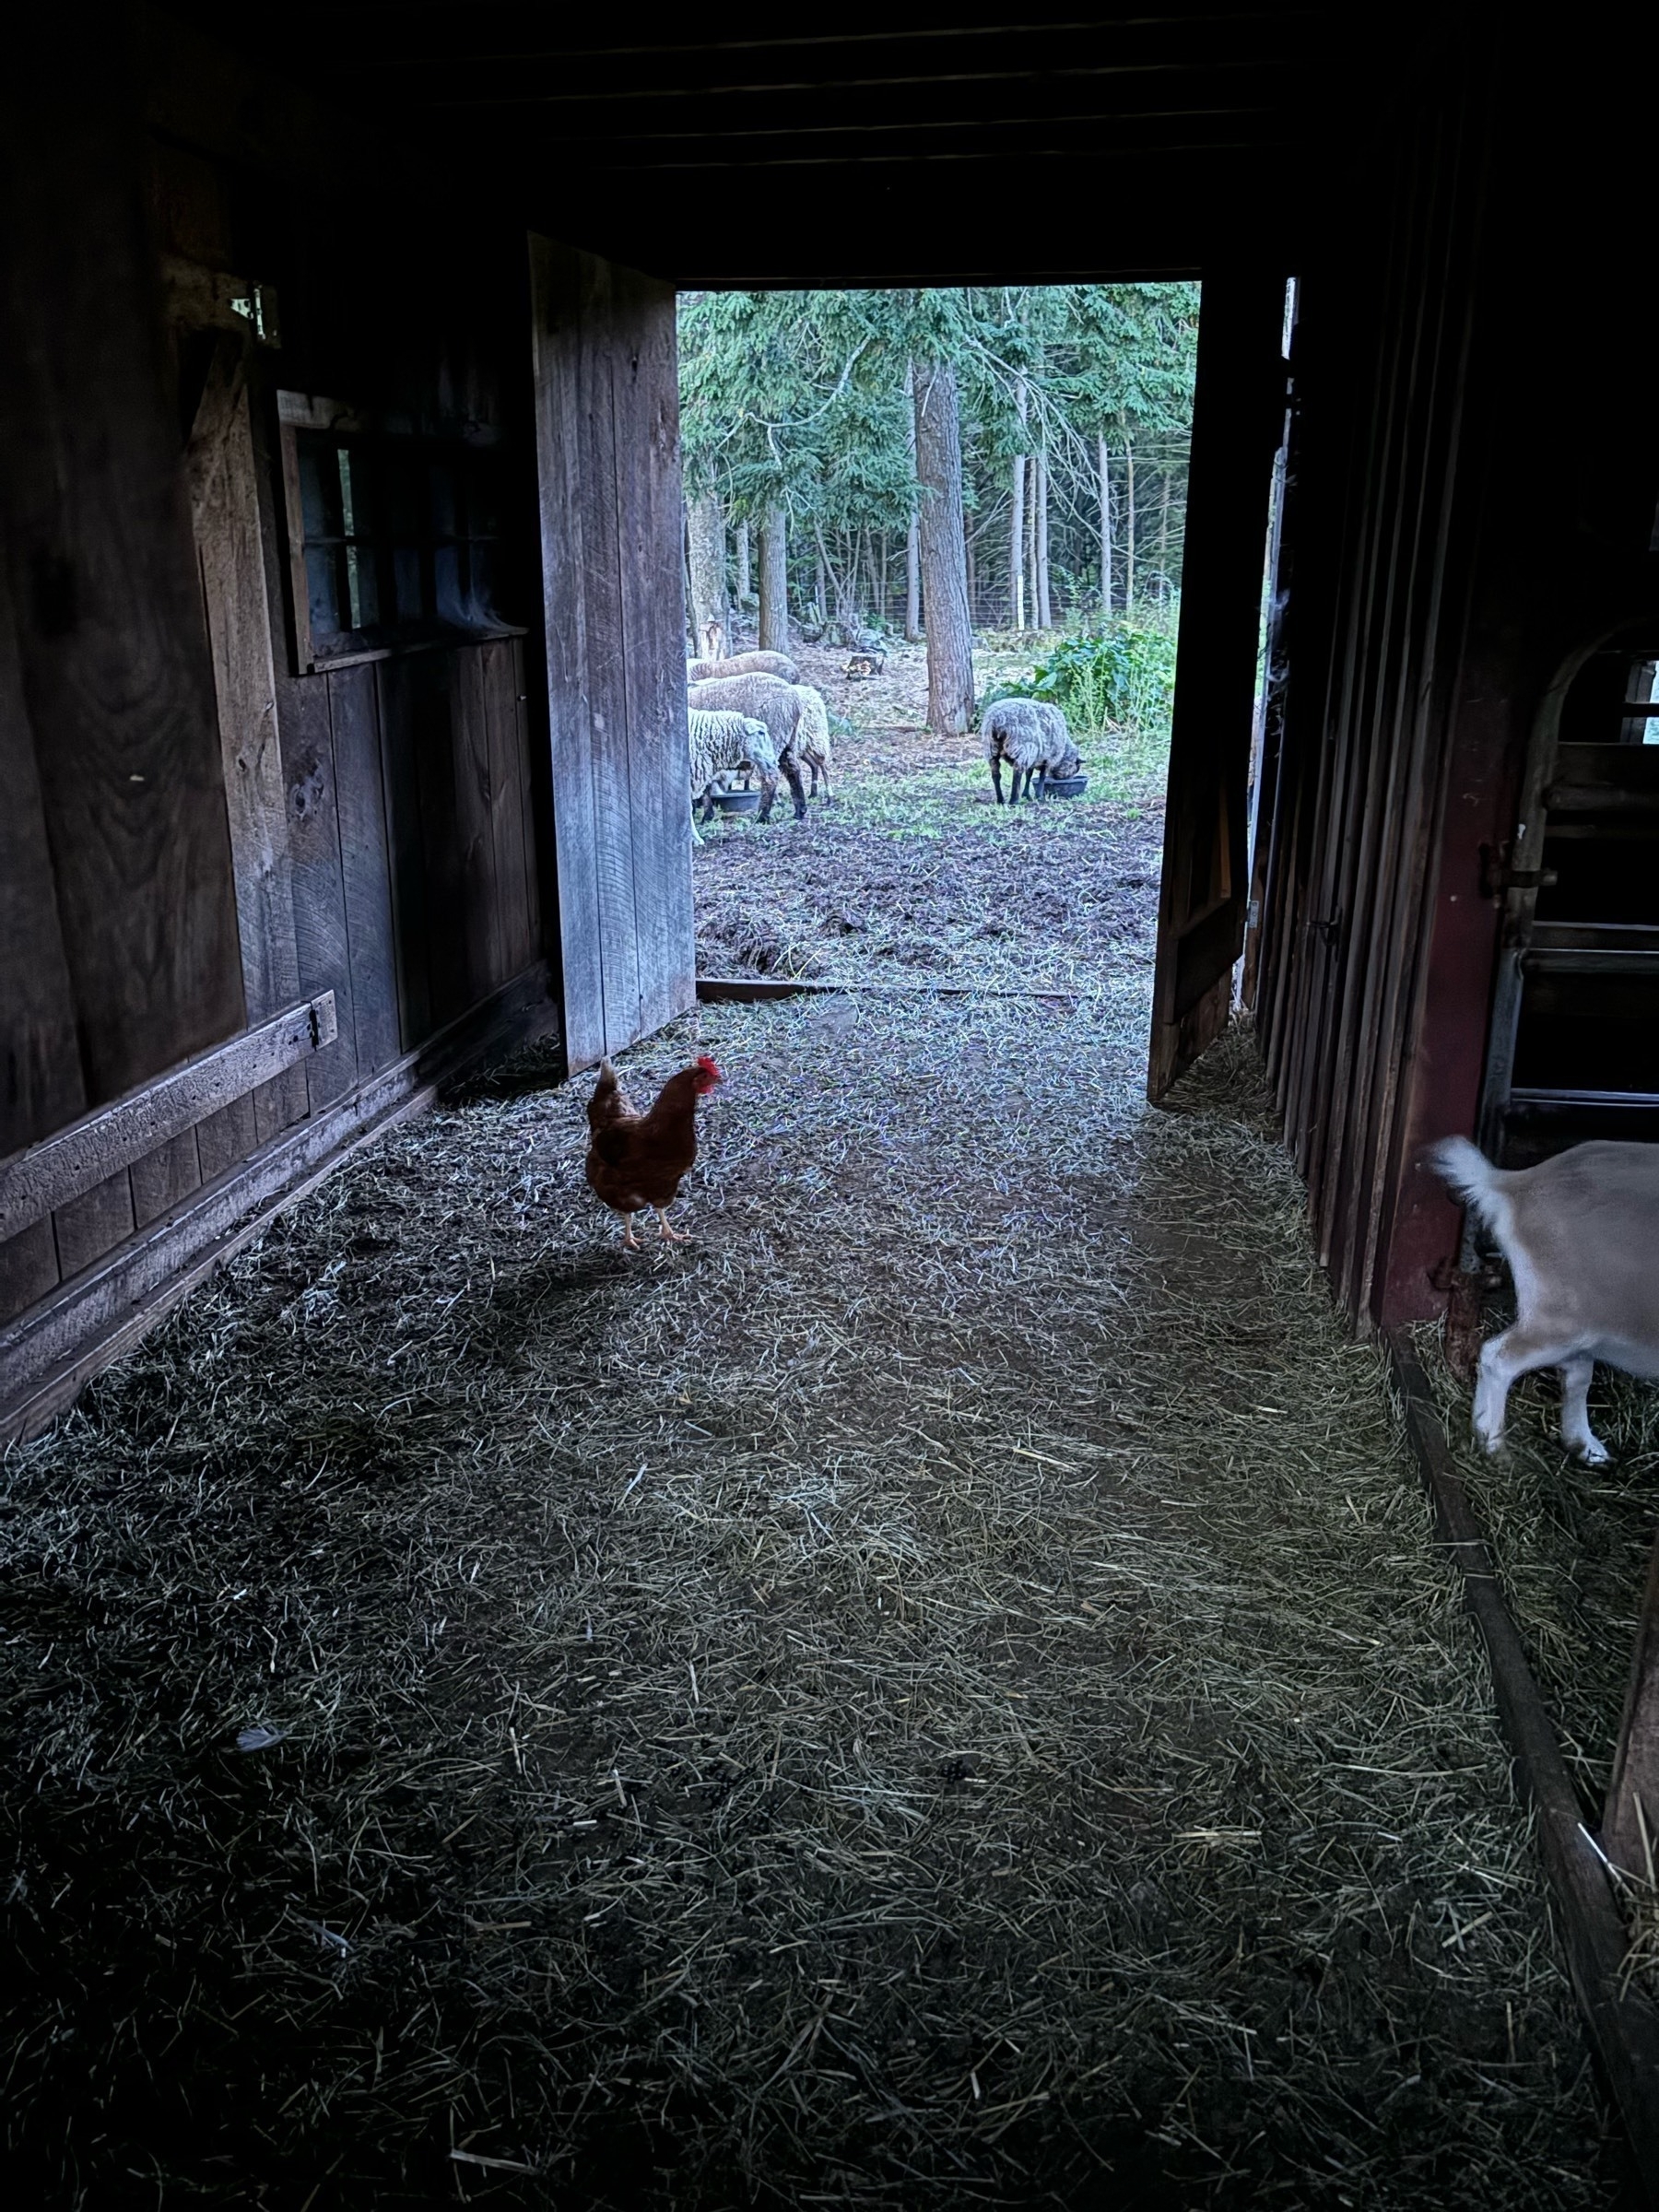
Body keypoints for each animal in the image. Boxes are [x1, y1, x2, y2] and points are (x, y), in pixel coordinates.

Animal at [689, 672, 814, 822]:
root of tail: (795, 699)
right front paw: (706, 815)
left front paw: (703, 815)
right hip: (789, 742)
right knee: (793, 770)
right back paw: (800, 810)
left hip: (771, 742)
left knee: (770, 776)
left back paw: (763, 815)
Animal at [1424, 1141, 1659, 1468]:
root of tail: (1516, 1183)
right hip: (1561, 1313)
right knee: (1499, 1357)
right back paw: (1495, 1448)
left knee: (1576, 1372)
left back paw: (1586, 1447)